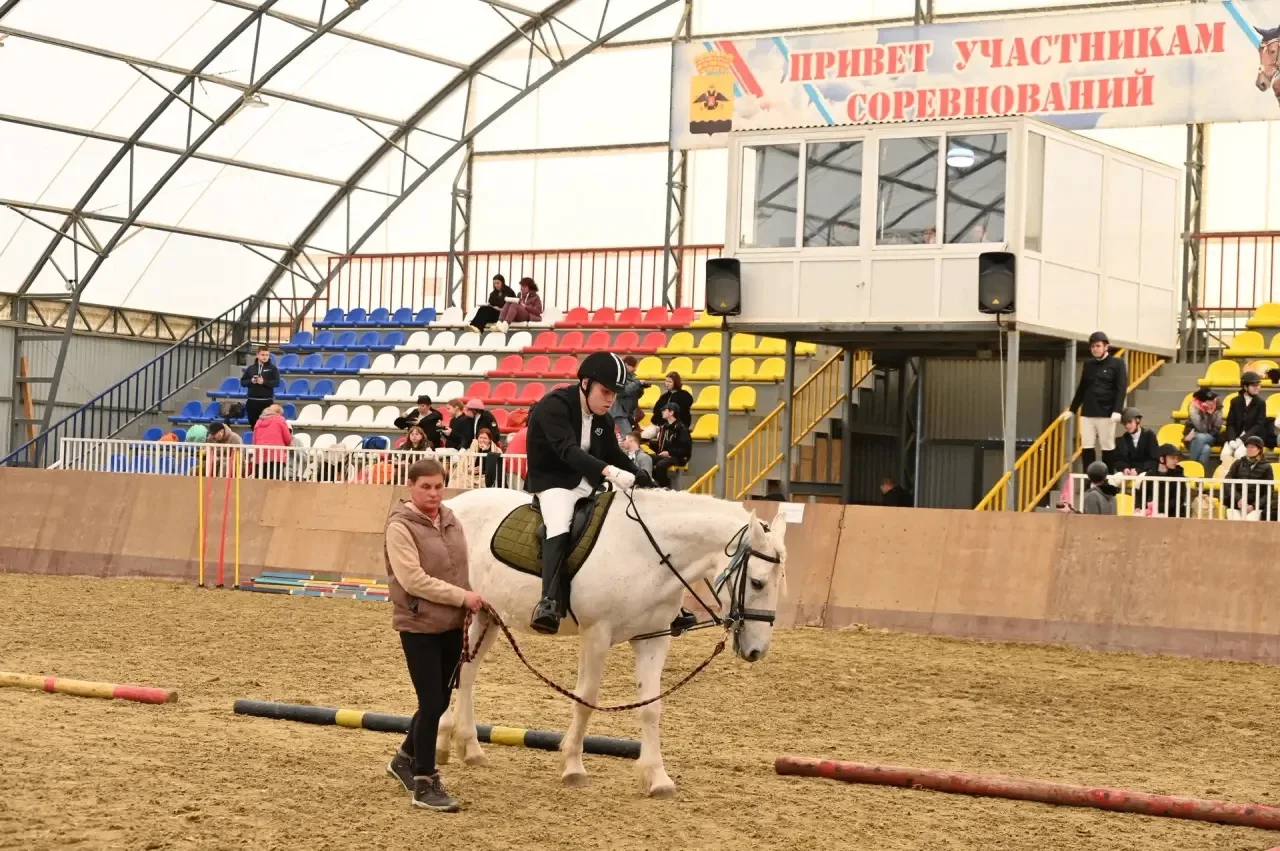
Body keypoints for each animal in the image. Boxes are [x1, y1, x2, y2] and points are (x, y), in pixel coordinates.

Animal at [434, 485, 789, 797]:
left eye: (780, 581)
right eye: (757, 582)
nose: (757, 650)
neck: (647, 553)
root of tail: (453, 504)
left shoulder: (651, 639)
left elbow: (651, 707)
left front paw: (658, 778)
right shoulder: (596, 634)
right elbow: (585, 699)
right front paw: (573, 767)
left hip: (487, 616)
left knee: (466, 673)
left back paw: (467, 747)